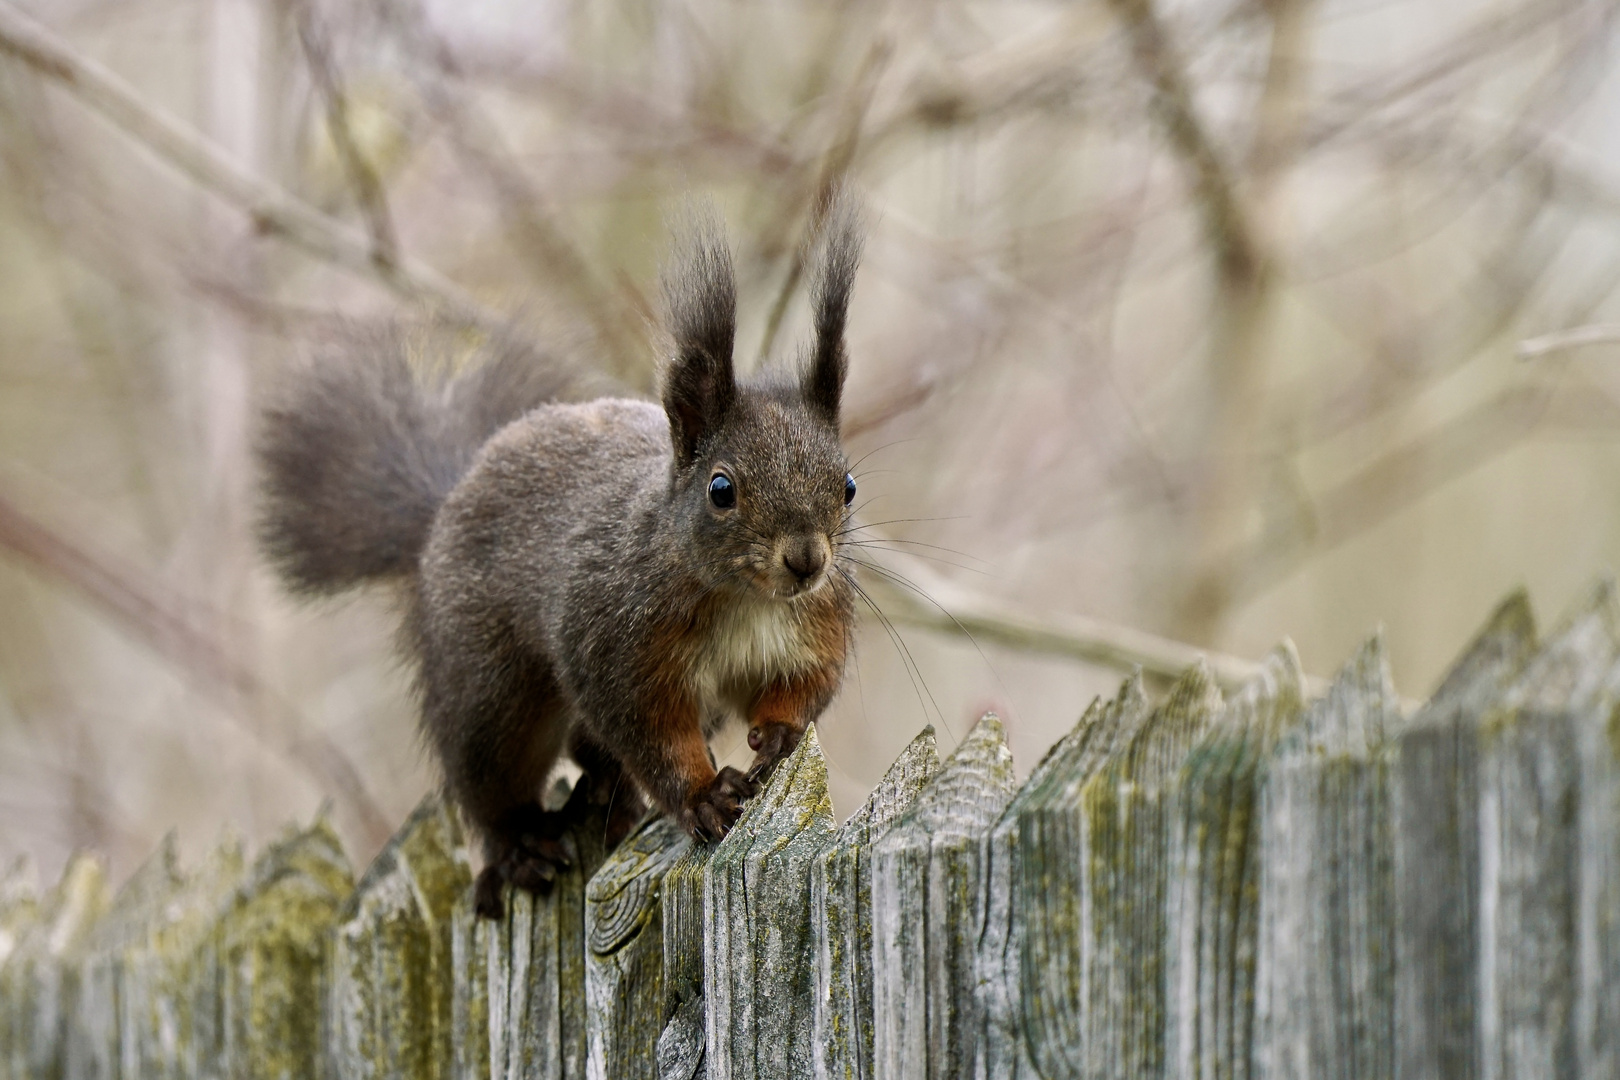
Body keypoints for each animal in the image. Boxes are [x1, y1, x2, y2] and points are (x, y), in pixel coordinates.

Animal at [255, 200, 861, 913]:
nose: (807, 559)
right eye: (721, 490)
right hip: (488, 692)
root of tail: (443, 508)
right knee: (490, 783)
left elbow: (806, 687)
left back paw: (607, 793)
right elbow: (652, 732)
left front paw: (780, 734)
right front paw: (703, 797)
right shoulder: (617, 645)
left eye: (848, 485)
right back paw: (521, 845)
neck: (747, 599)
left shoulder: (815, 626)